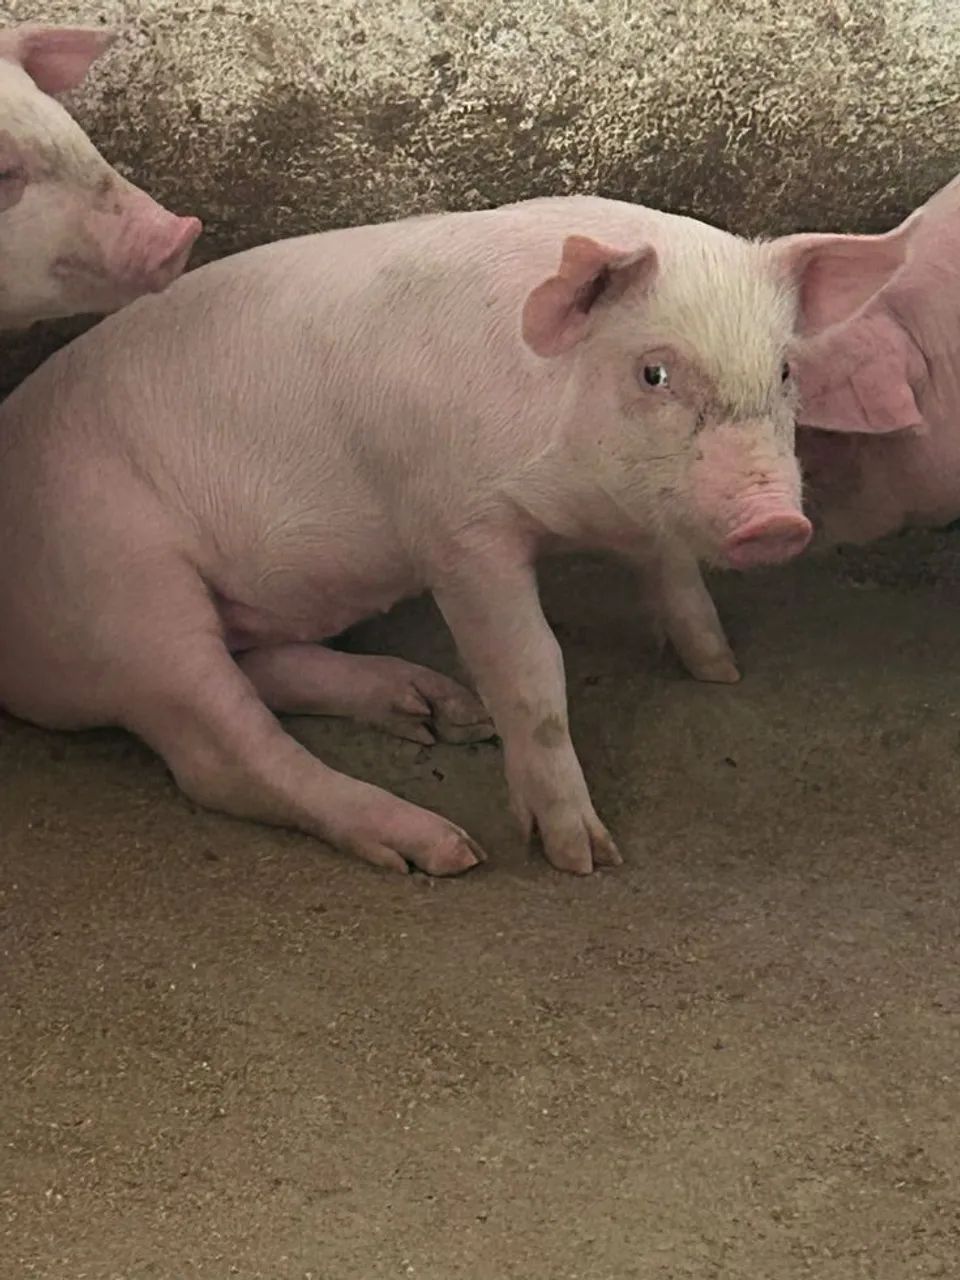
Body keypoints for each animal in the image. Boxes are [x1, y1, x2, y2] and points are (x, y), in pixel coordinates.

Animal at [0, 196, 912, 875]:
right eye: (653, 372)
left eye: (785, 370)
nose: (777, 522)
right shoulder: (456, 528)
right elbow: (531, 669)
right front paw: (582, 856)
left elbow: (670, 567)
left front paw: (718, 669)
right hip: (123, 584)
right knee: (220, 753)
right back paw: (441, 847)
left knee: (258, 667)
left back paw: (438, 711)